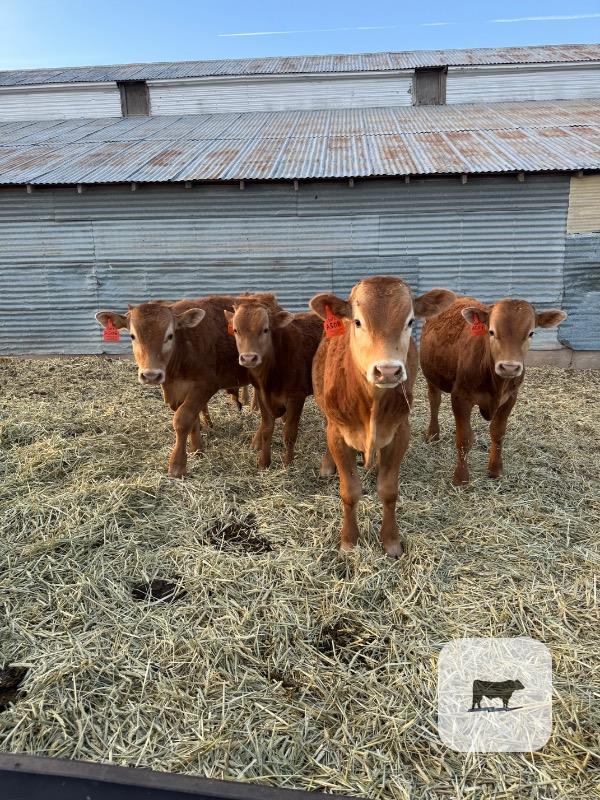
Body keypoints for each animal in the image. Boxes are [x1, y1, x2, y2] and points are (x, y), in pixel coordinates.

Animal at [95, 293, 279, 477]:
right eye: (133, 336)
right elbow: (192, 420)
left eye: (170, 335)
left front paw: (177, 465)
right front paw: (196, 449)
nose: (151, 375)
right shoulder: (177, 391)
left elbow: (182, 419)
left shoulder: (205, 385)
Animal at [224, 301, 323, 468]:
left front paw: (288, 463)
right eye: (236, 330)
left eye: (265, 329)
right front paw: (264, 462)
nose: (249, 358)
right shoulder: (262, 395)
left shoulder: (296, 397)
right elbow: (267, 429)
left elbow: (289, 433)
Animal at [309, 277, 455, 556]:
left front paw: (391, 540)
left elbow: (388, 491)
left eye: (410, 321)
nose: (387, 371)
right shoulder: (338, 432)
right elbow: (350, 491)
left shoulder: (400, 431)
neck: (371, 404)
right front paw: (349, 540)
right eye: (357, 322)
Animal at [420, 297, 567, 485]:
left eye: (531, 333)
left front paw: (495, 469)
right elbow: (464, 438)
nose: (509, 367)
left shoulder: (510, 398)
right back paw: (433, 434)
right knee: (434, 401)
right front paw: (461, 478)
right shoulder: (460, 397)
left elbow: (498, 433)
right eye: (491, 332)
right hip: (431, 376)